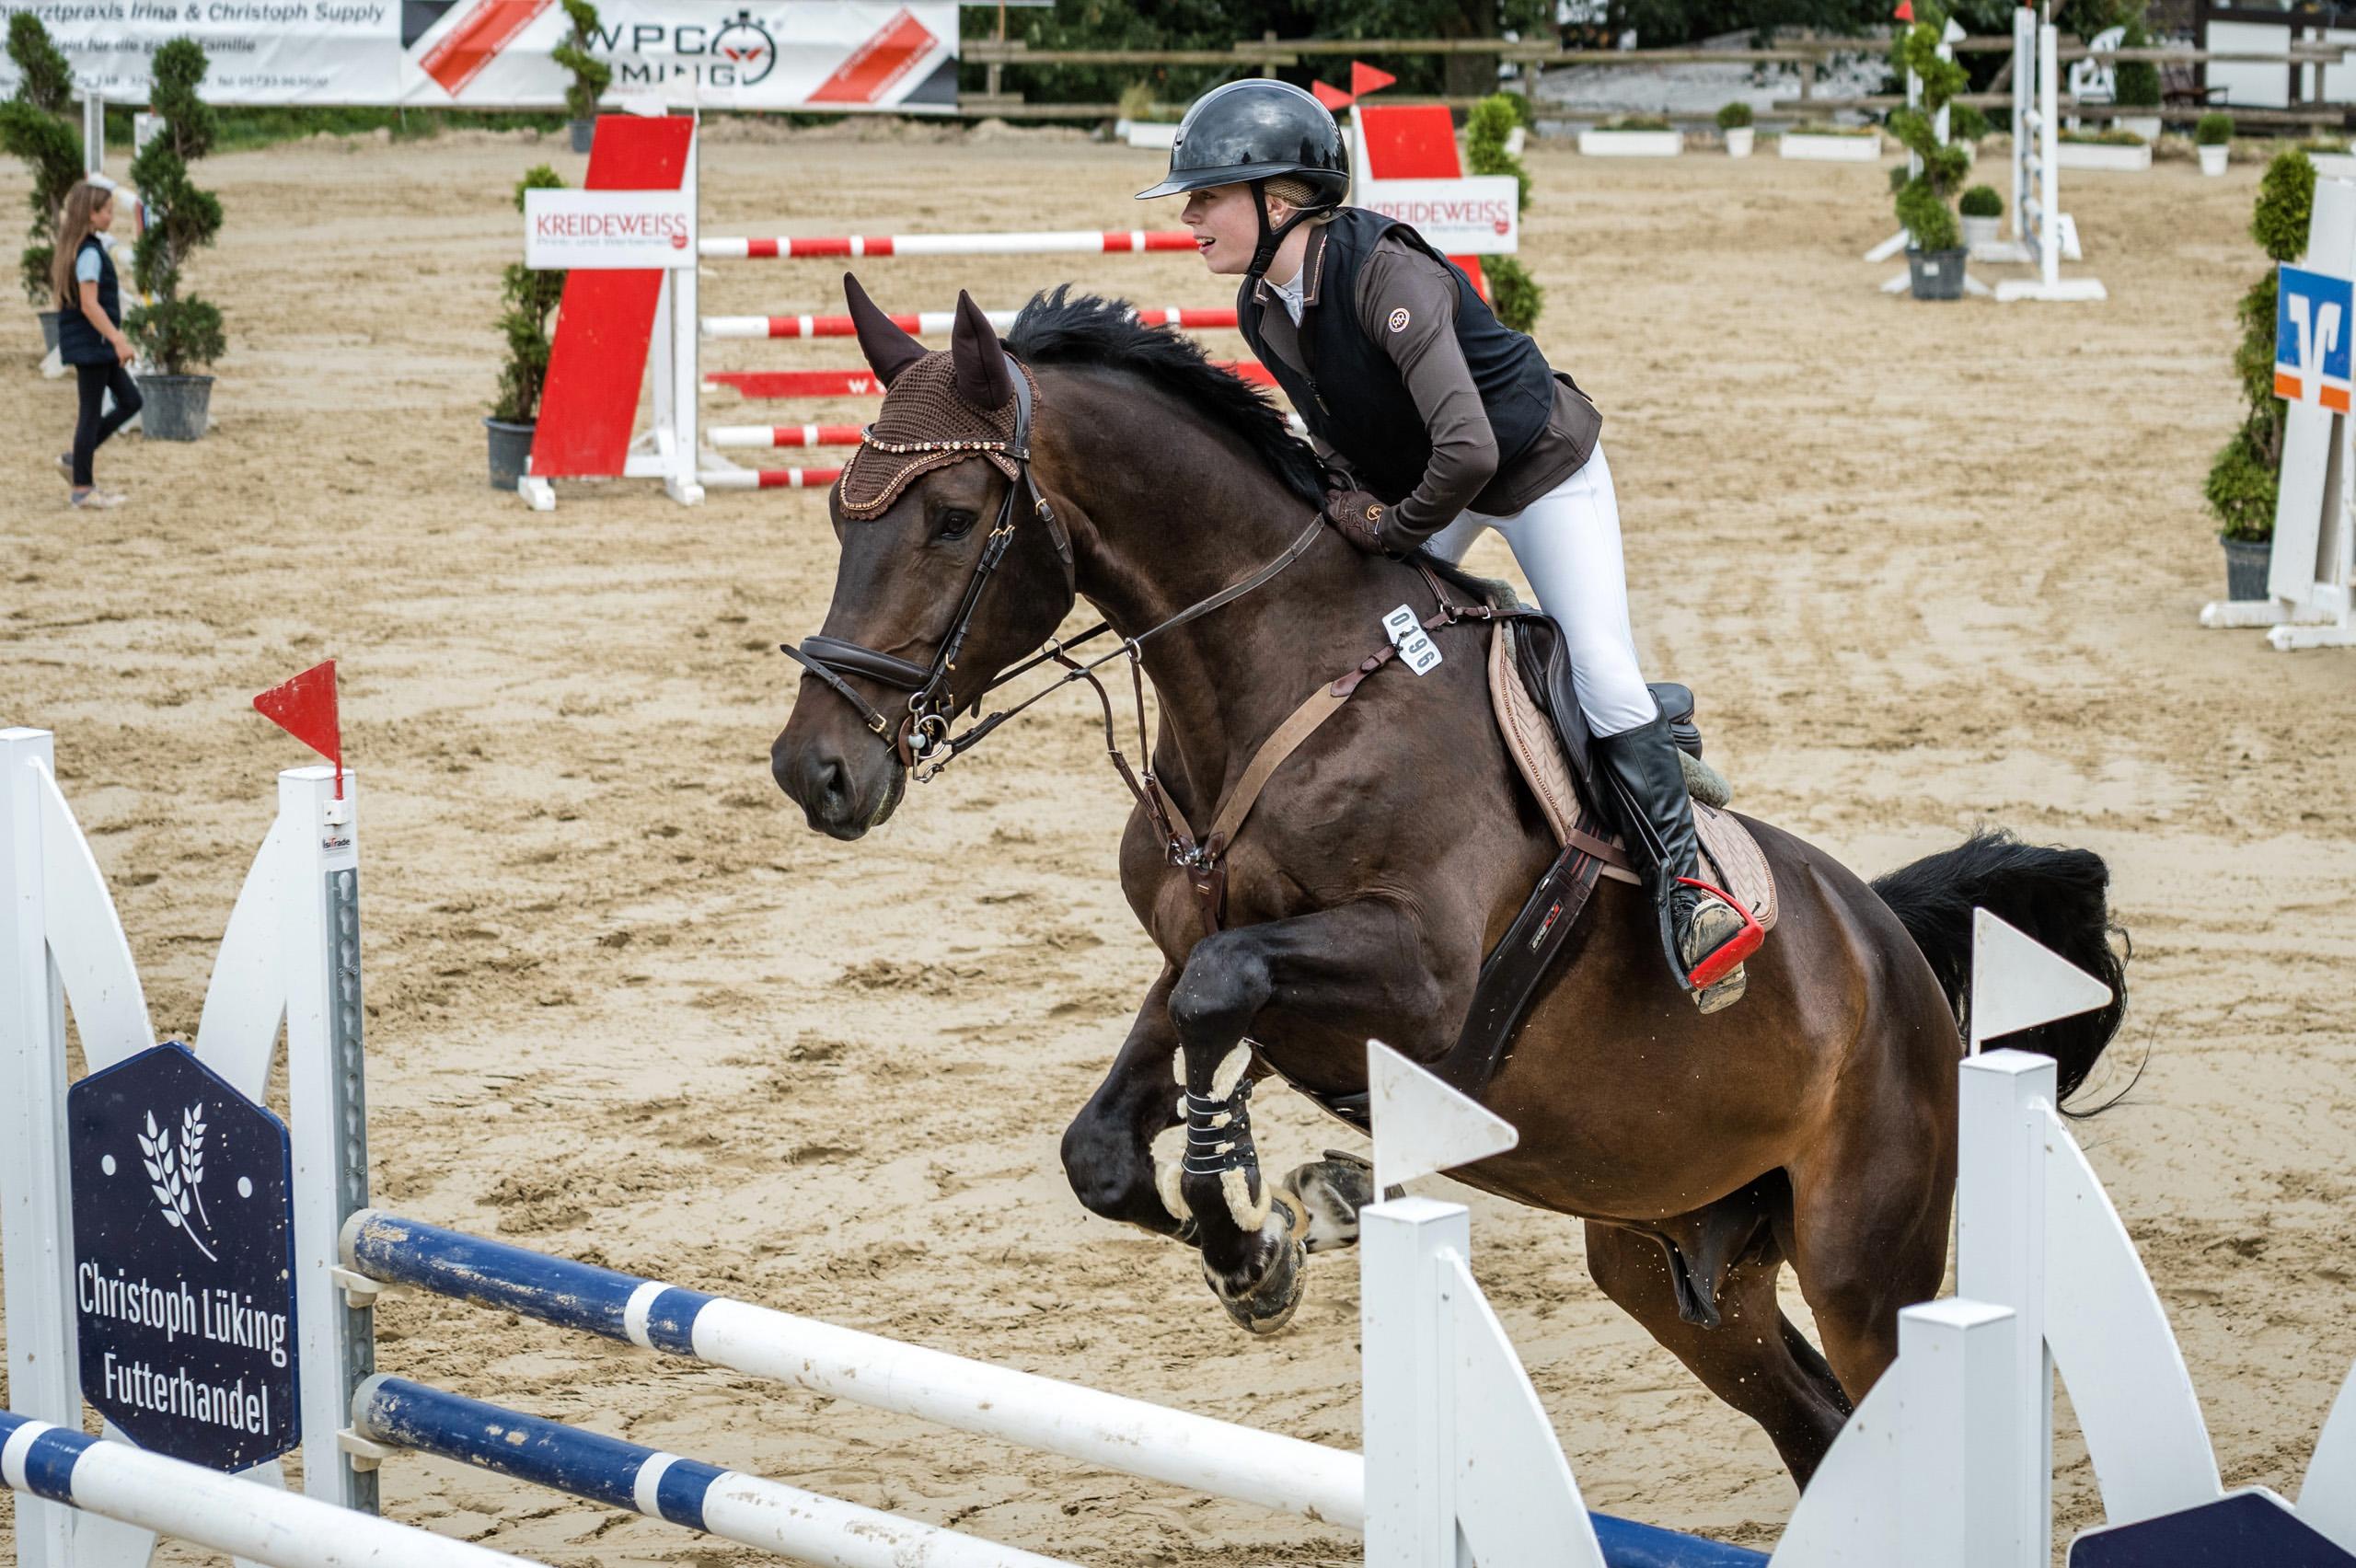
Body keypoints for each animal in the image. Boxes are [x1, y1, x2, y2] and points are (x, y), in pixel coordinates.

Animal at [770, 282, 2127, 1486]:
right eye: (836, 515)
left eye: (953, 518)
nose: (812, 770)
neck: (1274, 685)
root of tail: (1891, 950)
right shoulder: (1202, 949)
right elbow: (1116, 1128)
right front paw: (1265, 1239)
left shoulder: (1420, 979)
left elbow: (1220, 996)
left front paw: (1268, 1226)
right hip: (1675, 1257)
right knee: (1812, 1424)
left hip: (1861, 1261)